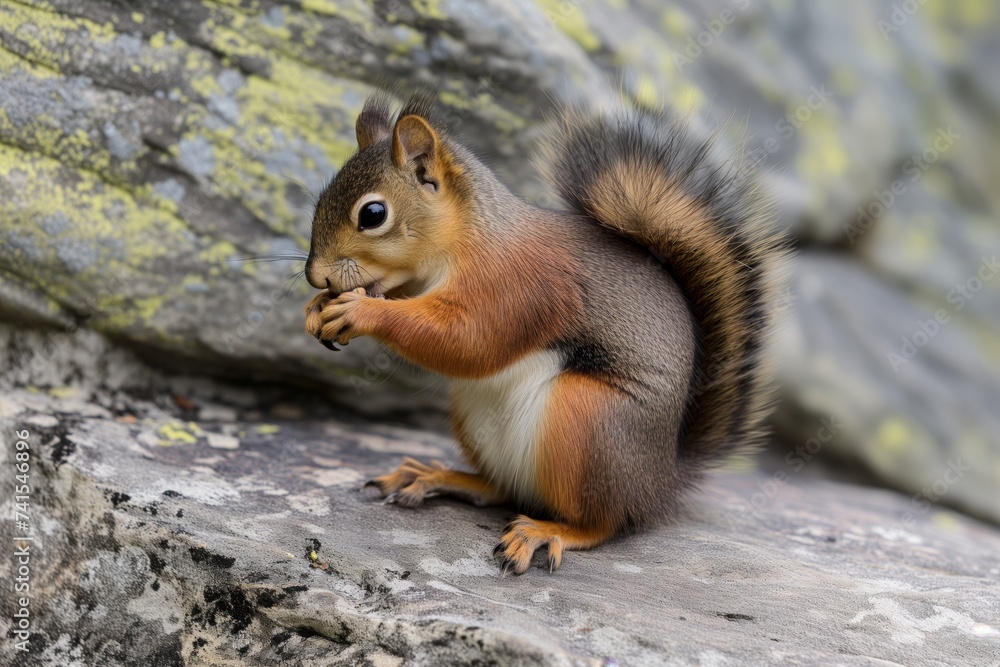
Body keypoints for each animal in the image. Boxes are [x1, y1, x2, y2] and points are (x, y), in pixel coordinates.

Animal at [300, 91, 784, 576]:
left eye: (373, 214)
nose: (314, 275)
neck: (466, 239)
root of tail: (659, 483)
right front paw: (317, 308)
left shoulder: (520, 289)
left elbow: (468, 341)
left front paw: (361, 310)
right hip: (478, 419)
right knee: (504, 489)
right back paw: (435, 475)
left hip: (588, 422)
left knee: (603, 522)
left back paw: (547, 531)